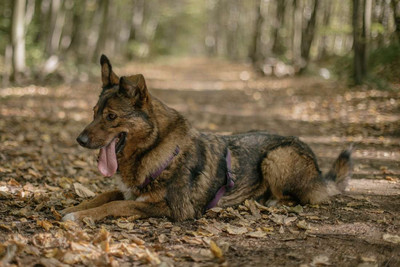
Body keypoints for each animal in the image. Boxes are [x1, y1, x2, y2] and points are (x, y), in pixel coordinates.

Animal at [61, 55, 352, 223]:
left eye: (111, 117)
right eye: (94, 112)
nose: (79, 140)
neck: (156, 148)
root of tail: (318, 169)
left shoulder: (173, 208)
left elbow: (117, 205)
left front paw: (80, 215)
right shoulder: (129, 190)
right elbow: (106, 194)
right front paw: (74, 207)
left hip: (277, 156)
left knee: (300, 197)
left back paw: (272, 200)